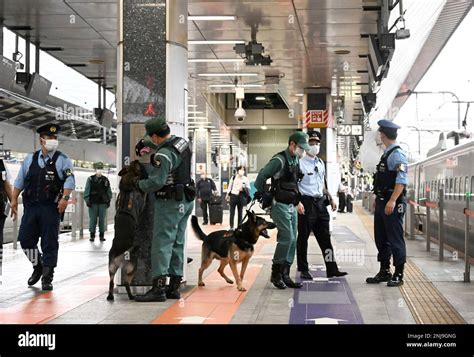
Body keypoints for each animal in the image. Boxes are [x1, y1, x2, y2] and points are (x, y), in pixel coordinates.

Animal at [106, 160, 147, 298]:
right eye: (137, 165)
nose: (137, 160)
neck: (127, 188)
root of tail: (120, 255)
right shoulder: (142, 199)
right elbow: (145, 194)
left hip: (111, 267)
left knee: (111, 281)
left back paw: (110, 296)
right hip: (132, 266)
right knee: (126, 282)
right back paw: (131, 296)